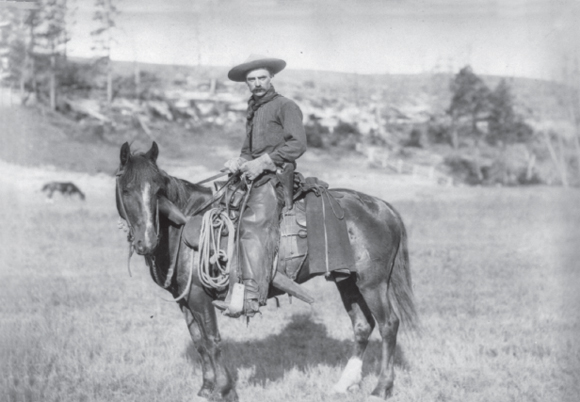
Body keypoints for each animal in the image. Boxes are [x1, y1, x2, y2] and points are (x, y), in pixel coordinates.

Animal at [116, 142, 416, 402]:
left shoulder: (200, 297)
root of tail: (381, 207)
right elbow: (199, 342)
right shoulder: (186, 299)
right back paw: (345, 383)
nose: (146, 241)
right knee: (363, 326)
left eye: (158, 190)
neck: (184, 224)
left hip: (372, 283)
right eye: (127, 190)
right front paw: (205, 389)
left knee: (389, 325)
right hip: (347, 281)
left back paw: (382, 388)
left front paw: (224, 390)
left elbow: (212, 341)